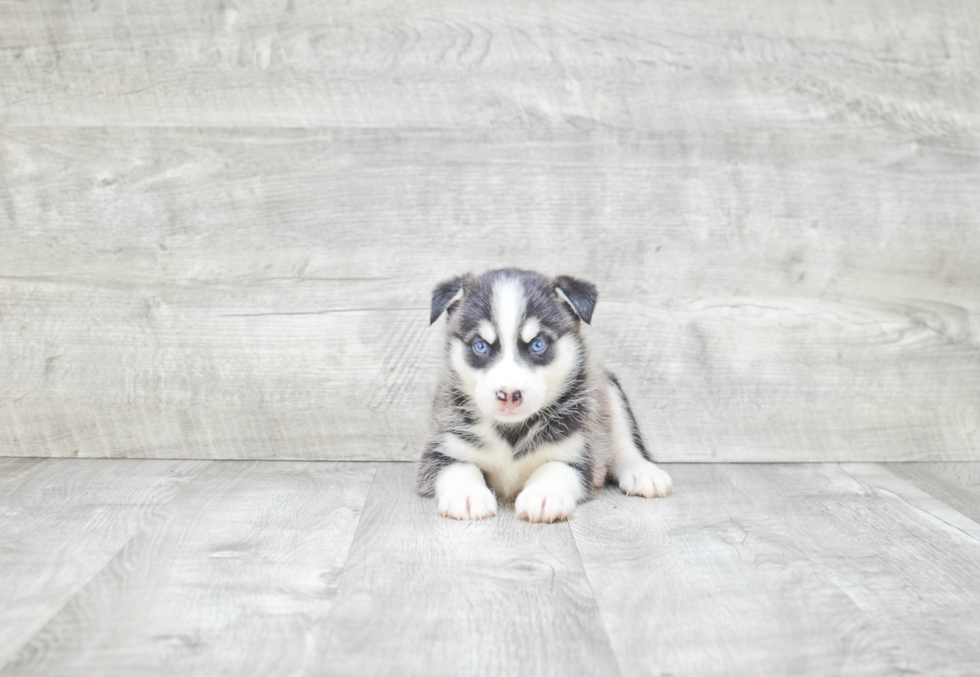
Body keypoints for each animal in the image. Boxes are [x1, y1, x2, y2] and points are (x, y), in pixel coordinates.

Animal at [418, 266, 668, 520]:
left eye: (538, 344)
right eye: (481, 346)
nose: (509, 394)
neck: (512, 433)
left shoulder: (576, 451)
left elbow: (554, 467)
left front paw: (544, 495)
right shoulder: (443, 446)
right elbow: (459, 467)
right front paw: (467, 495)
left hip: (607, 388)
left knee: (623, 440)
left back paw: (642, 472)